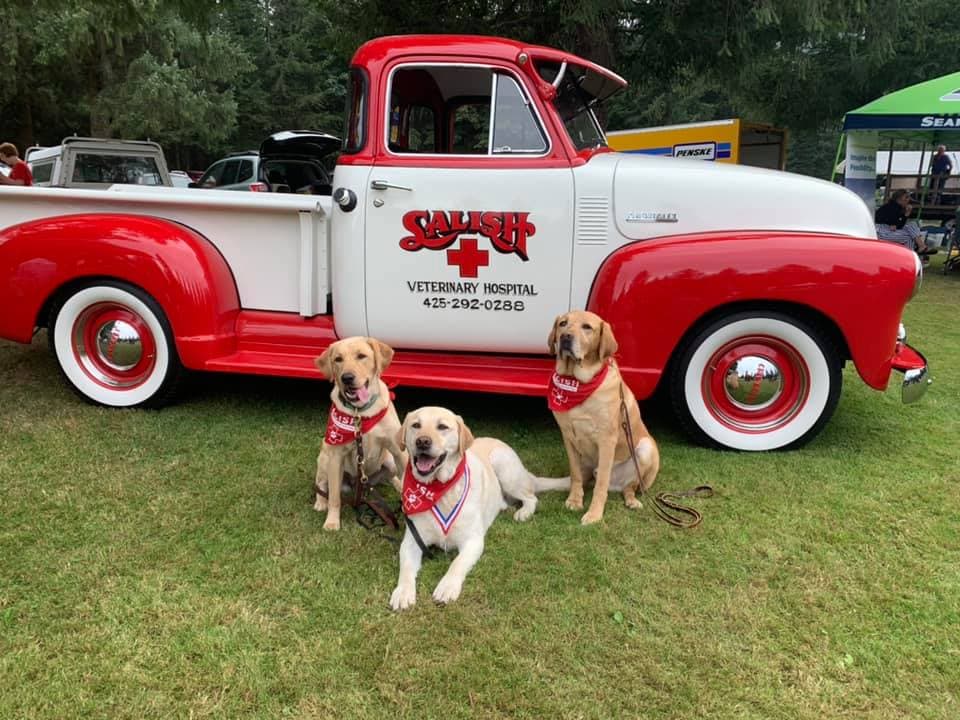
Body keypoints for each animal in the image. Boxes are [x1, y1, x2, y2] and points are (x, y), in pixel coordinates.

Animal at [314, 336, 406, 528]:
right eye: (338, 359)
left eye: (361, 356)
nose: (347, 378)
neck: (360, 413)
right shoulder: (336, 457)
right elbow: (334, 497)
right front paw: (332, 522)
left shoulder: (399, 450)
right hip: (325, 459)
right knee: (321, 484)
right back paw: (320, 502)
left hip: (389, 462)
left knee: (393, 476)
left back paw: (398, 485)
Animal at [548, 310, 660, 524]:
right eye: (563, 323)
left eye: (587, 327)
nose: (565, 337)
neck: (577, 382)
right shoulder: (568, 437)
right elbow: (575, 475)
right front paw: (575, 500)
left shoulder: (607, 439)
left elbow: (600, 486)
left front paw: (594, 514)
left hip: (646, 449)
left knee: (629, 486)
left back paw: (632, 500)